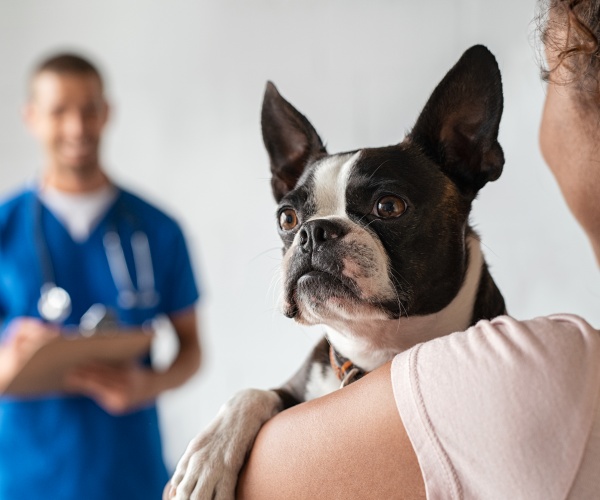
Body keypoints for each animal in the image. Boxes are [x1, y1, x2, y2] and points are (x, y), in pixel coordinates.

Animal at [168, 45, 506, 498]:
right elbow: (252, 392)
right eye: (287, 218)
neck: (371, 350)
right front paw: (207, 457)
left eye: (389, 206)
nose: (312, 232)